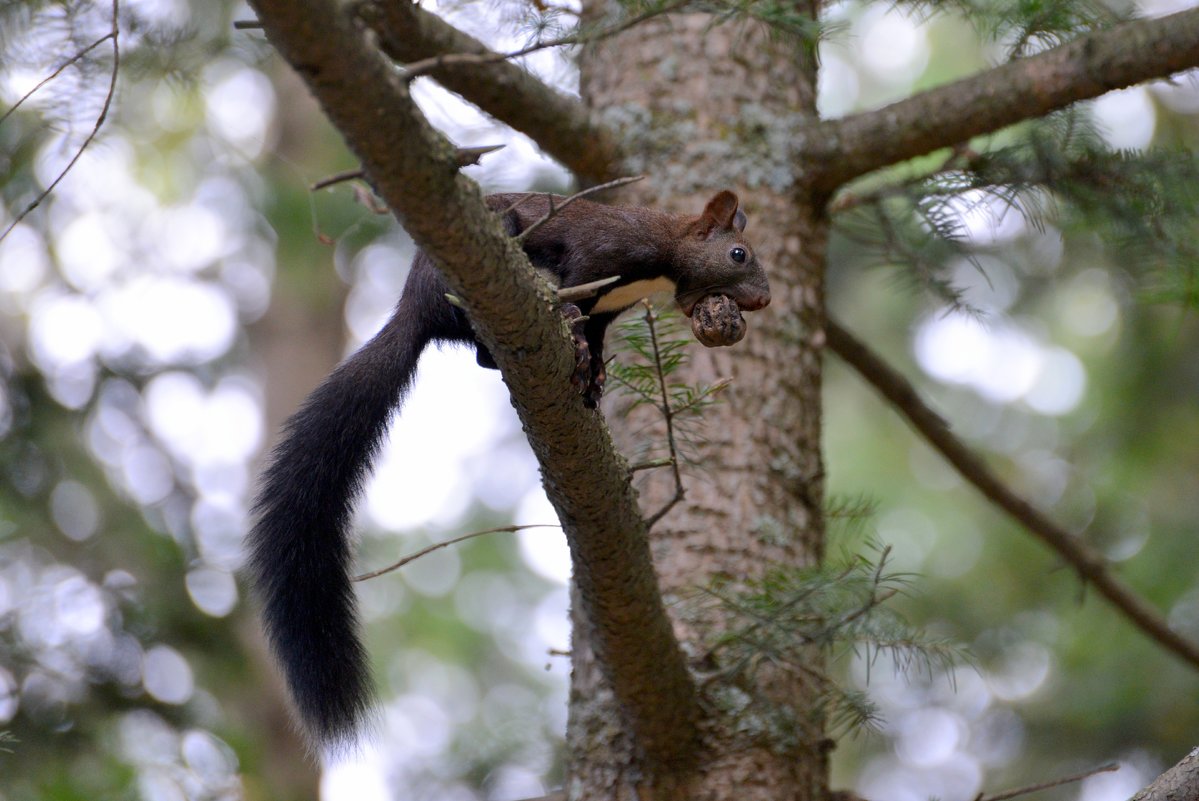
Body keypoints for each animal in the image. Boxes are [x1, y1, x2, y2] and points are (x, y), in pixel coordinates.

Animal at [245, 189, 767, 753]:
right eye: (738, 253)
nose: (763, 300)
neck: (660, 262)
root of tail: (413, 308)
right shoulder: (597, 256)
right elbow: (575, 297)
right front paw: (577, 344)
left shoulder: (607, 311)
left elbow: (597, 335)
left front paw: (596, 374)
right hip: (480, 265)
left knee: (479, 355)